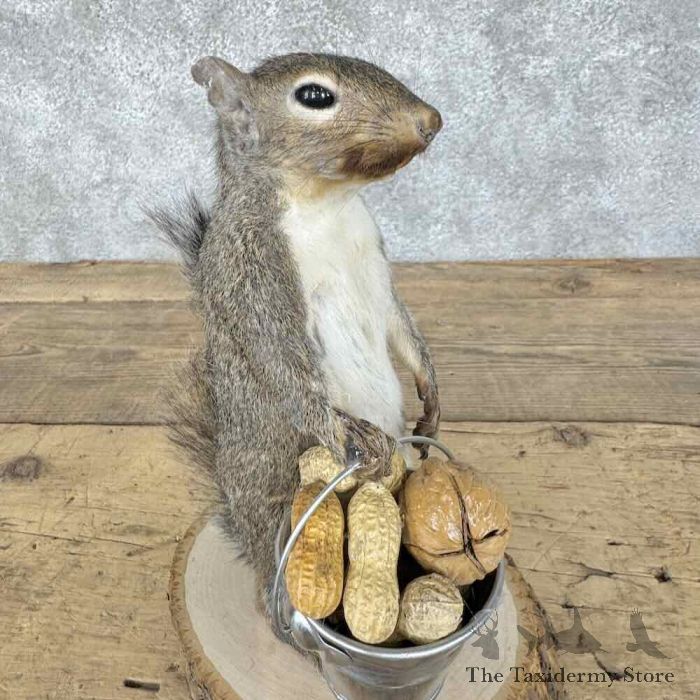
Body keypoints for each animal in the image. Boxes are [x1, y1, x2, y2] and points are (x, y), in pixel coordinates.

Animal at [151, 52, 442, 618]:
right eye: (314, 96)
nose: (431, 121)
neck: (328, 206)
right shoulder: (253, 273)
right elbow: (287, 368)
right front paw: (343, 431)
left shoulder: (377, 268)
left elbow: (400, 325)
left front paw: (432, 390)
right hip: (283, 496)